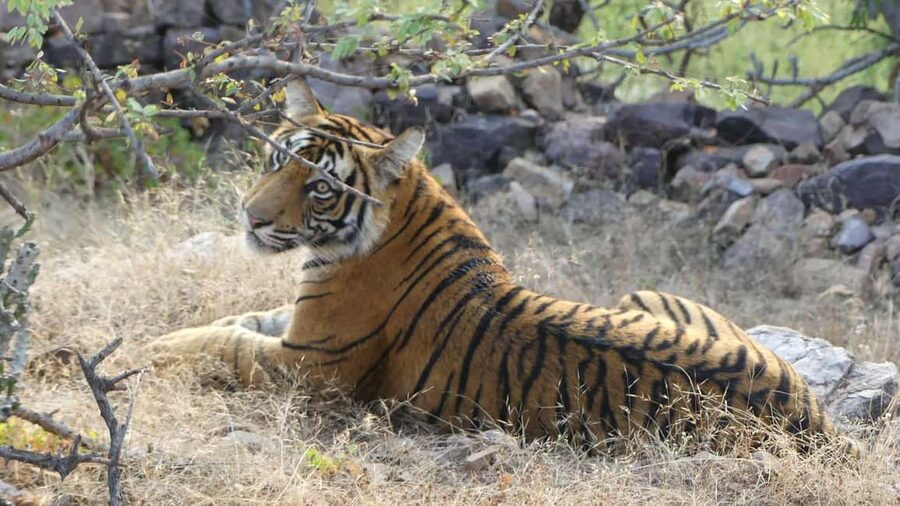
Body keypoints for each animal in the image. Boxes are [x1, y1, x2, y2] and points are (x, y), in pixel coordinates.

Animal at [152, 79, 858, 457]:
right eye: (277, 159)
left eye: (321, 187)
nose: (250, 218)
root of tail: (813, 420)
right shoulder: (294, 325)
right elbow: (240, 320)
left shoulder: (308, 366)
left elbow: (223, 344)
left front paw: (151, 349)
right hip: (647, 292)